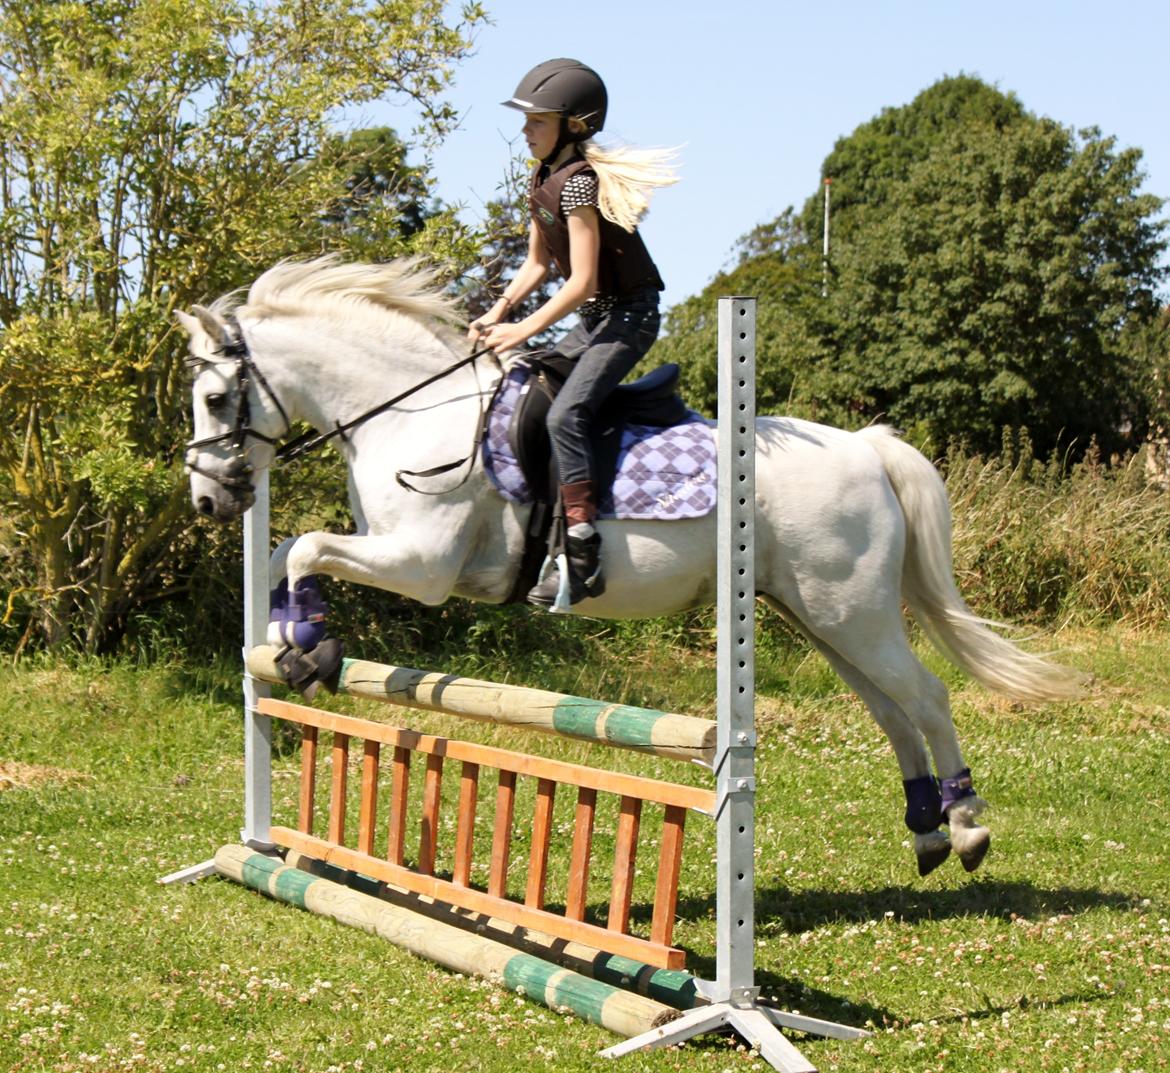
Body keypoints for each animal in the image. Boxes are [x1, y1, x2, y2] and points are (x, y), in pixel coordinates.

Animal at [179, 256, 1082, 878]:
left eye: (217, 399)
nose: (209, 500)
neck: (409, 410)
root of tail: (867, 445)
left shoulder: (422, 564)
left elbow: (303, 544)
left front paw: (311, 646)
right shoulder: (393, 550)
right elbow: (279, 550)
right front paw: (289, 641)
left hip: (847, 610)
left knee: (925, 697)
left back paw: (967, 824)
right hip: (822, 616)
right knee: (892, 709)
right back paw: (927, 828)